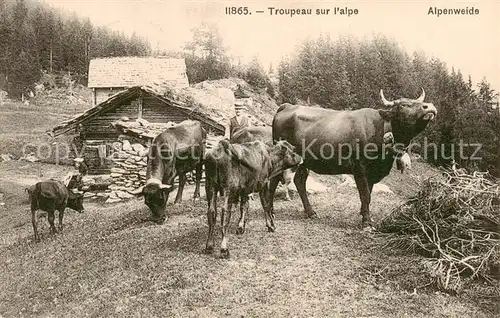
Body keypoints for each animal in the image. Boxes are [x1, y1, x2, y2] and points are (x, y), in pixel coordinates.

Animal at [270, 88, 438, 230]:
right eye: (403, 104)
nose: (429, 106)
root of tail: (287, 106)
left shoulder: (371, 173)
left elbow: (368, 194)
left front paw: (365, 215)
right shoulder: (360, 168)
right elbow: (365, 195)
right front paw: (366, 223)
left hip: (305, 162)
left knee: (299, 180)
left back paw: (311, 212)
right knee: (274, 180)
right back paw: (271, 210)